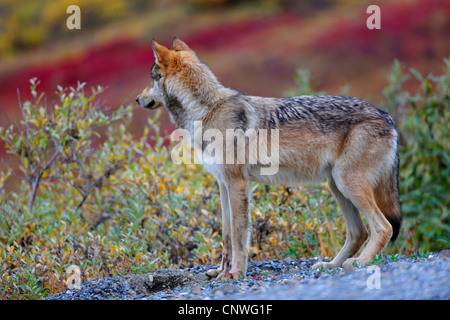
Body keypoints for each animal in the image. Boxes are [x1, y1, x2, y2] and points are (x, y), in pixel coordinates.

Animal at [135, 36, 402, 278]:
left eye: (151, 78)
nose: (137, 99)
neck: (208, 111)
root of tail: (389, 118)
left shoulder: (237, 184)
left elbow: (239, 235)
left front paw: (235, 274)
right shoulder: (222, 184)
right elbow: (226, 234)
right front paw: (221, 272)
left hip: (348, 184)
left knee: (383, 227)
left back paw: (361, 262)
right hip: (337, 186)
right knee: (359, 232)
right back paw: (331, 265)